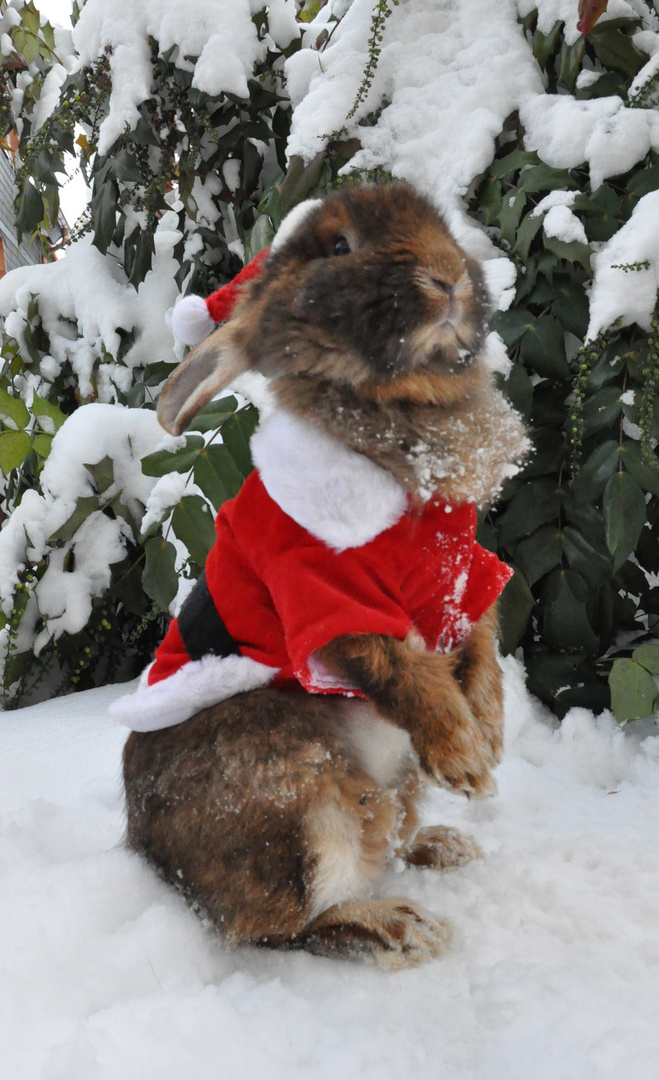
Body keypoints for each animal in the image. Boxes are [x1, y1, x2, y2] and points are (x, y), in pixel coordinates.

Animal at [119, 185, 529, 972]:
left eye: (437, 222)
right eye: (339, 247)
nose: (447, 278)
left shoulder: (466, 575)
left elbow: (481, 646)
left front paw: (489, 737)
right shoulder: (324, 595)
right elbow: (403, 668)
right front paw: (465, 760)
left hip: (392, 787)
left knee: (388, 841)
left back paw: (441, 845)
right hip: (306, 810)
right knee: (277, 924)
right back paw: (399, 925)